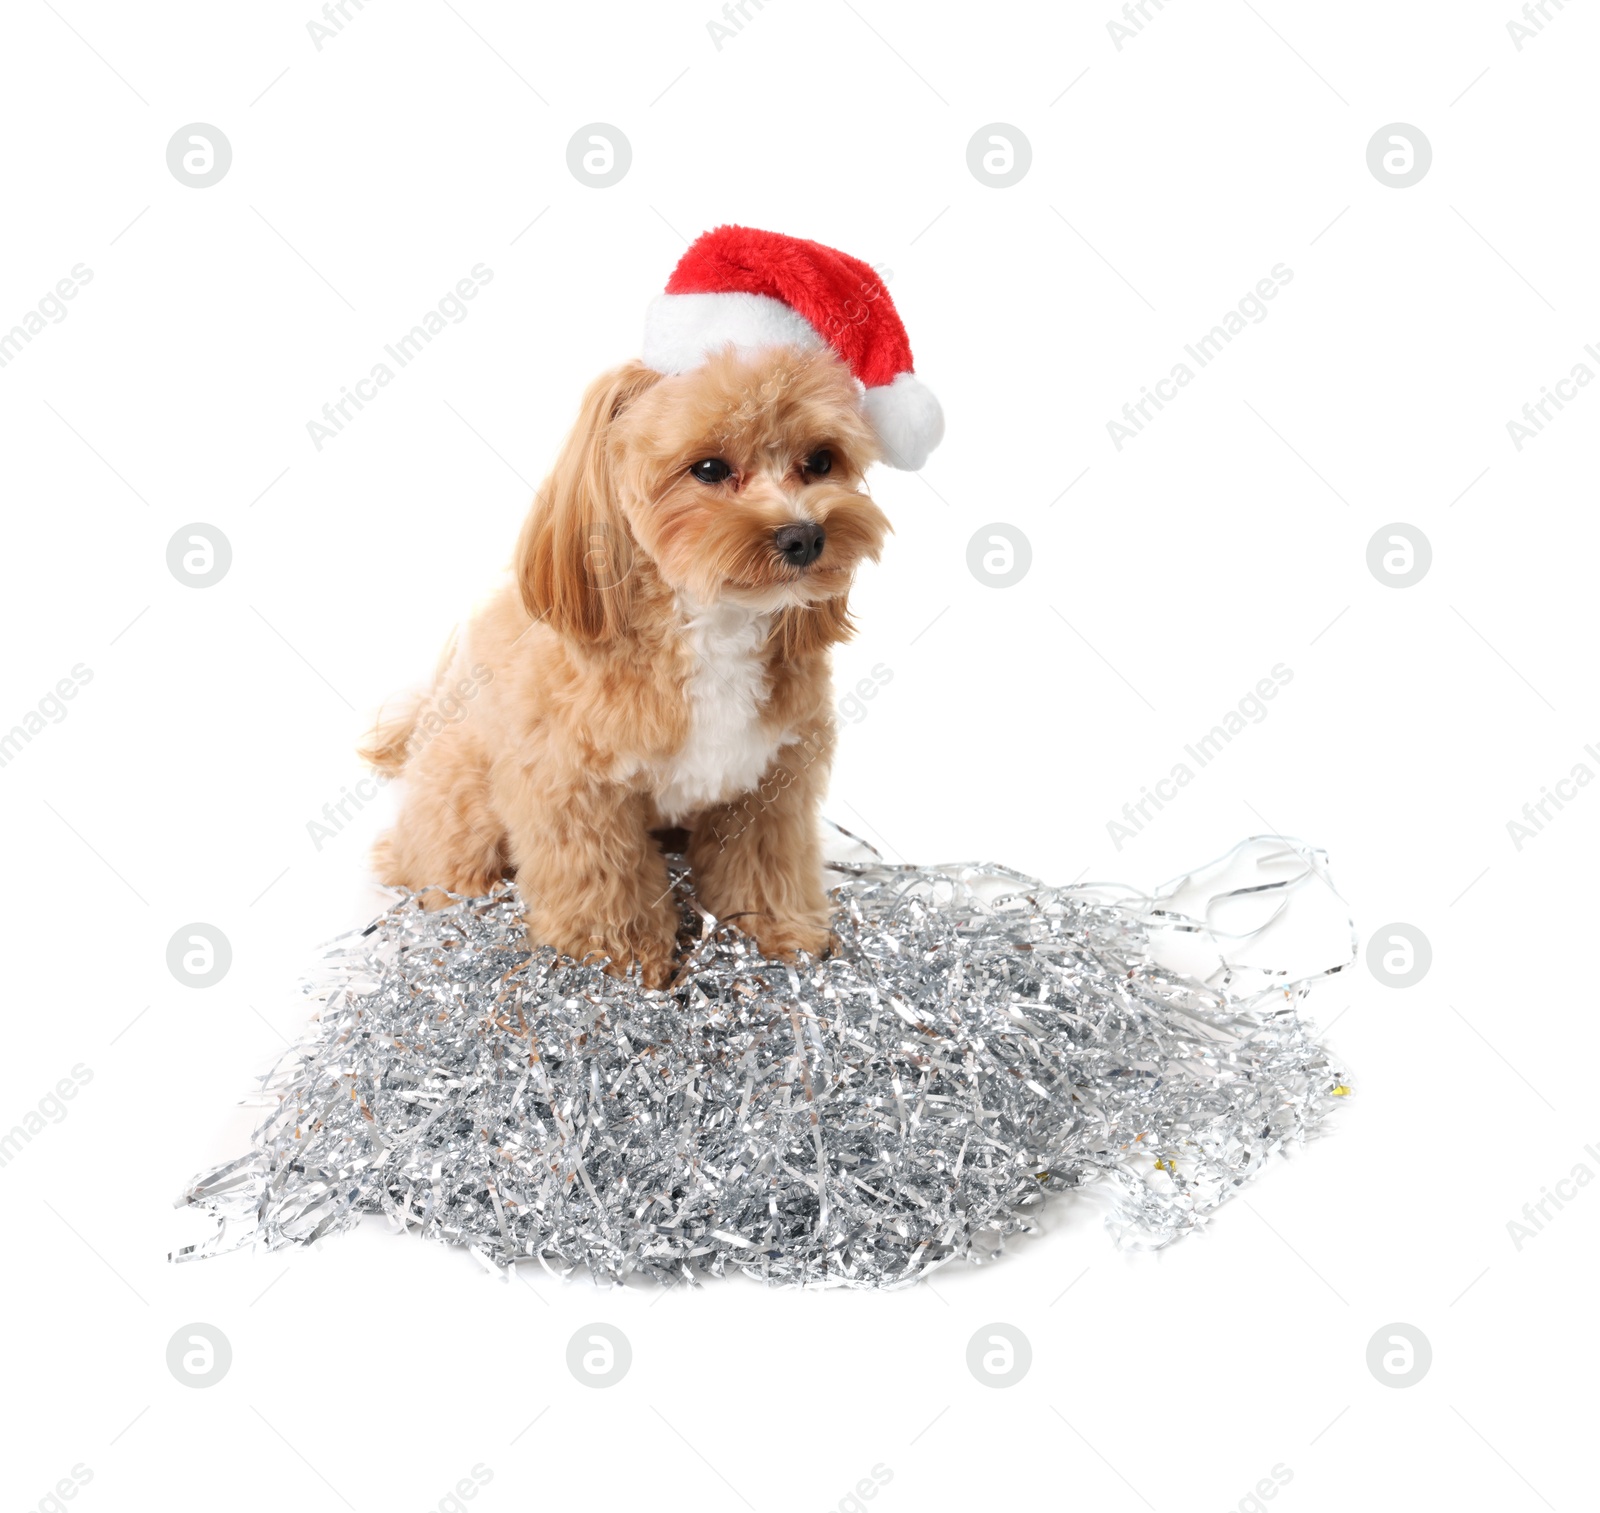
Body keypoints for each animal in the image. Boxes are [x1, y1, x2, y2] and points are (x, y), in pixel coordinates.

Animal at [356, 220, 940, 978]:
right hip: (463, 800)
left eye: (819, 461)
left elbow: (766, 868)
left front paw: (783, 937)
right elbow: (605, 885)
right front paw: (620, 965)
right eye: (710, 469)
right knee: (431, 865)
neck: (713, 620)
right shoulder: (573, 790)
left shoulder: (768, 784)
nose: (804, 535)